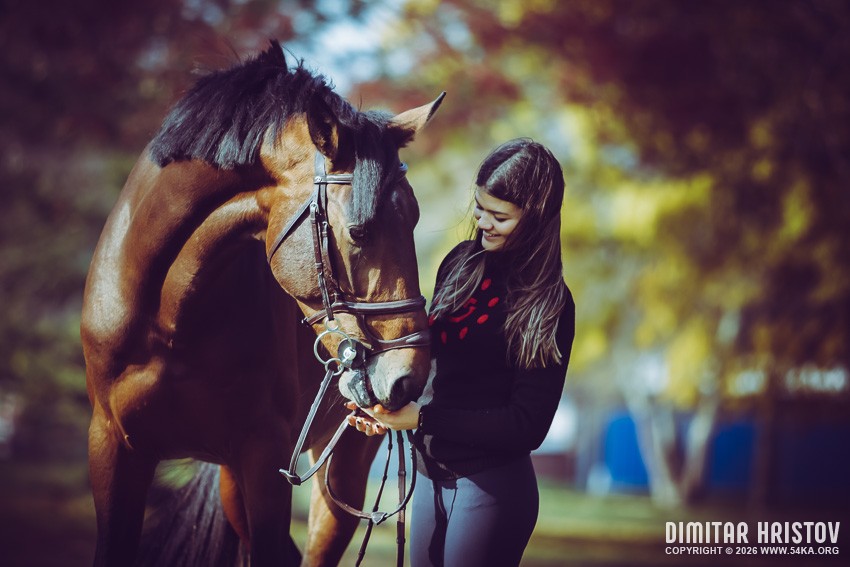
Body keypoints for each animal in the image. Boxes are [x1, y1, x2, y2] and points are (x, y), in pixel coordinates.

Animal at [80, 40, 443, 566]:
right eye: (359, 231)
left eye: (414, 219)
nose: (410, 378)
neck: (167, 321)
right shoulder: (113, 448)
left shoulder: (263, 457)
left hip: (340, 469)